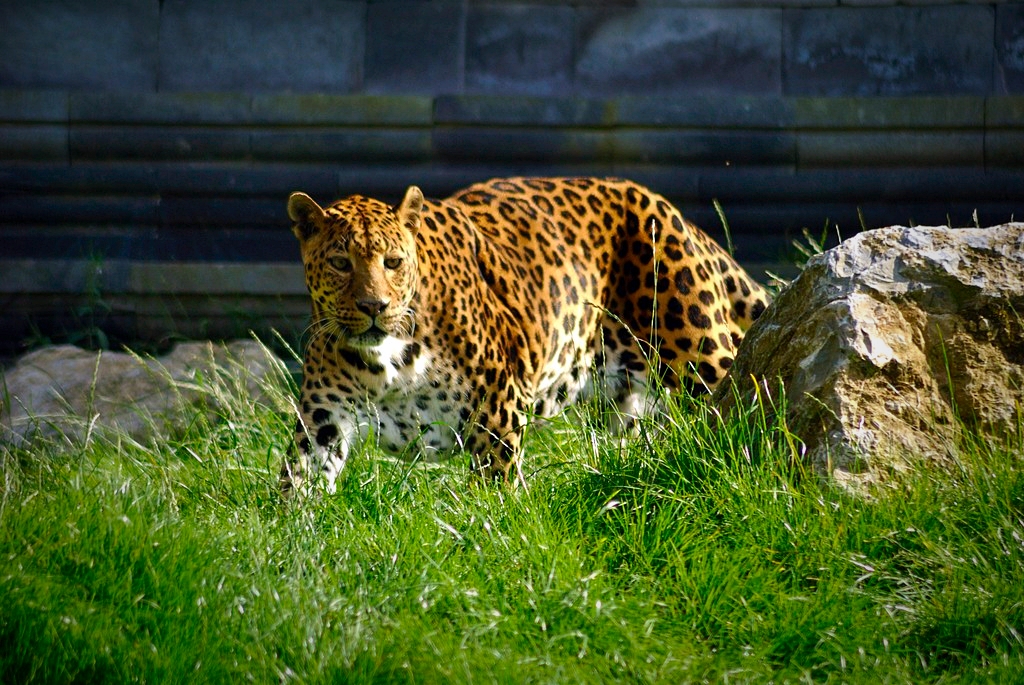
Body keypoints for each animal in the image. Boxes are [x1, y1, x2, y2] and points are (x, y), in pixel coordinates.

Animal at [280, 177, 769, 497]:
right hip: (627, 404)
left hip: (700, 352)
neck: (387, 362)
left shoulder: (497, 404)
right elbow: (297, 483)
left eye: (393, 262)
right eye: (340, 263)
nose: (374, 307)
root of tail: (669, 209)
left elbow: (495, 485)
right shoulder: (323, 420)